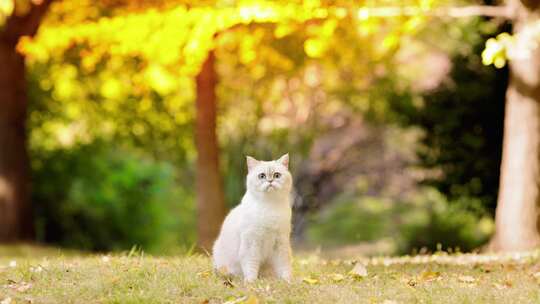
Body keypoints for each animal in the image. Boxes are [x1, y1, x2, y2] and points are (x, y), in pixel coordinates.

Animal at [212, 154, 296, 282]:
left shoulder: (281, 243)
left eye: (277, 175)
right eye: (262, 176)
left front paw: (287, 281)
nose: (270, 181)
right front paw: (251, 282)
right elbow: (251, 265)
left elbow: (284, 266)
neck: (269, 206)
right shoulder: (251, 244)